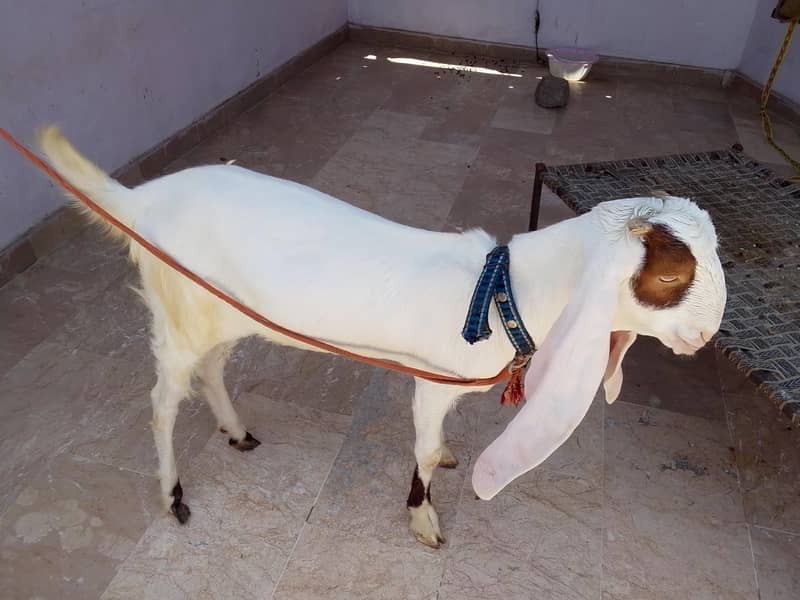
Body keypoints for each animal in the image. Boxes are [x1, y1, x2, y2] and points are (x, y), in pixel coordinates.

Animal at [38, 126, 726, 548]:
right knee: (160, 404)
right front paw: (423, 519)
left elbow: (434, 443)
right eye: (670, 275)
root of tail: (139, 202)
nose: (706, 332)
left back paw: (235, 431)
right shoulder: (431, 381)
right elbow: (418, 453)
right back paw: (173, 493)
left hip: (225, 313)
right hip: (177, 315)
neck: (507, 290)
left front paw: (445, 456)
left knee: (211, 370)